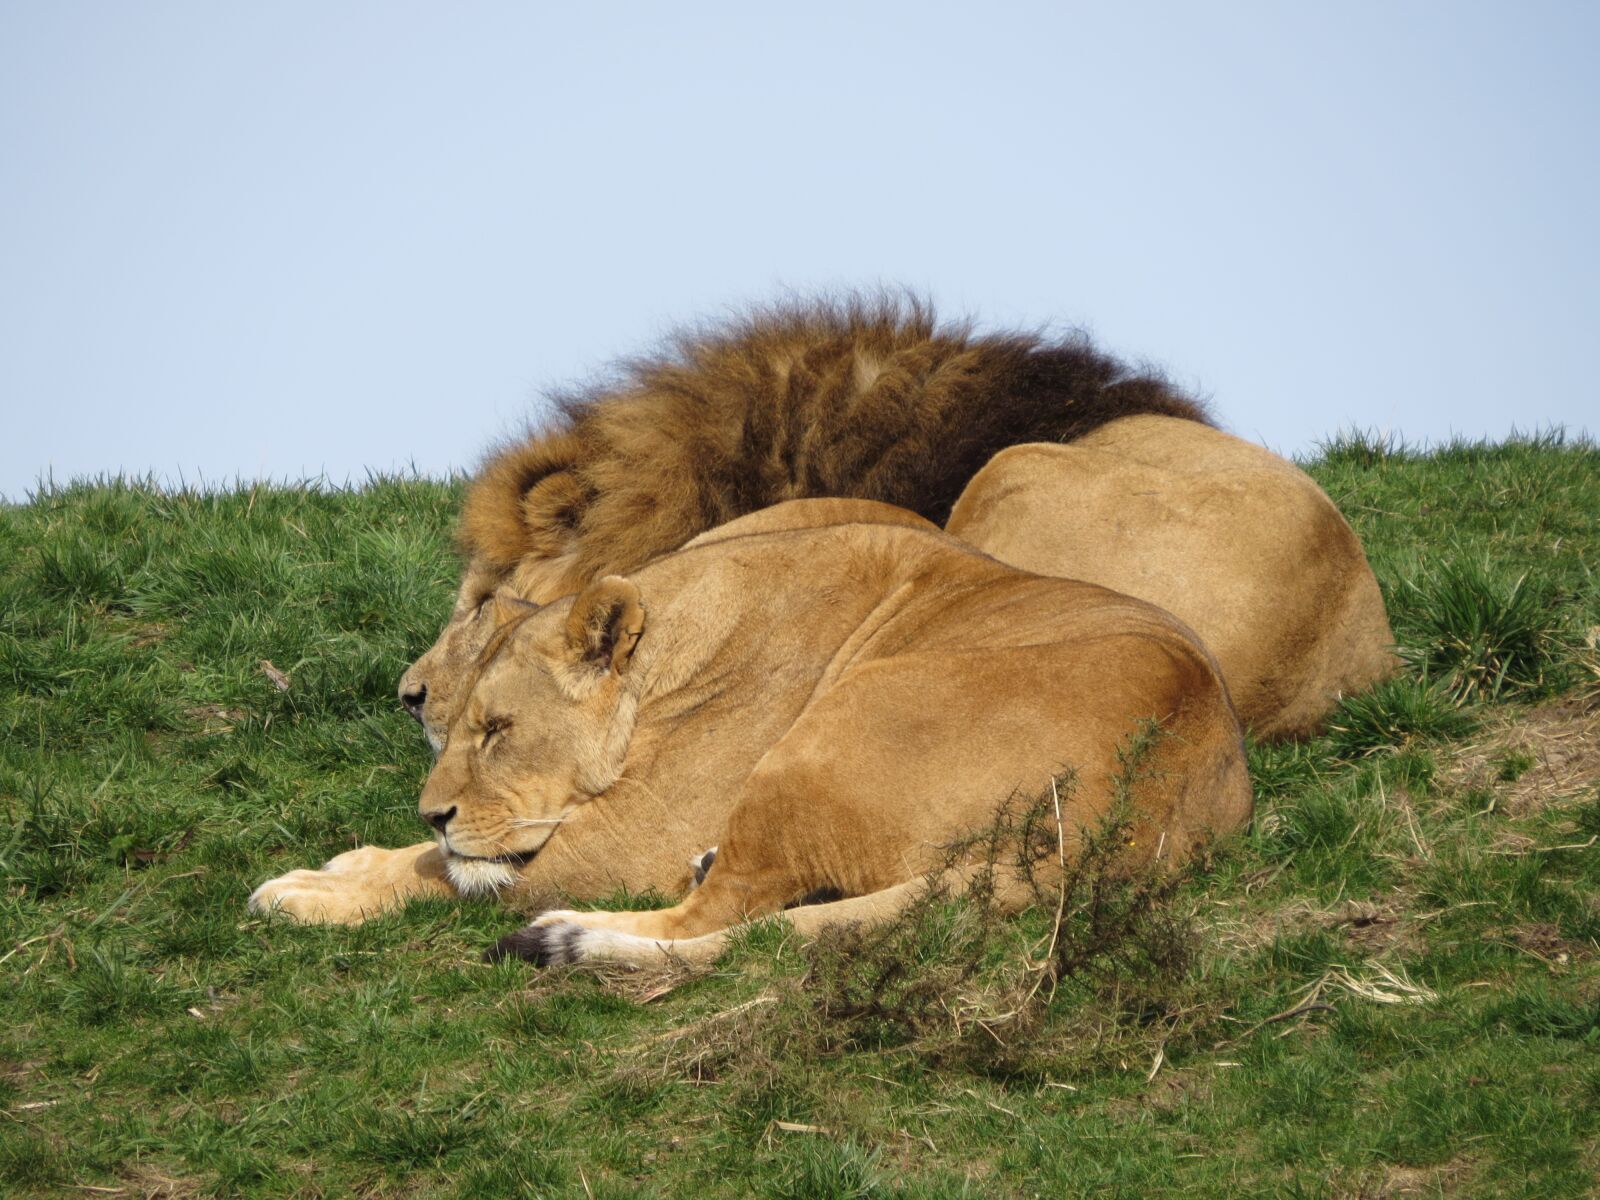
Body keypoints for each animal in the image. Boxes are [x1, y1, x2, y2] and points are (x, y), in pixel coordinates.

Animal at [251, 508, 1252, 967]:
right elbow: (427, 862)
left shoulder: (628, 840)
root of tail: (1136, 821)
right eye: (452, 726)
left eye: (498, 730)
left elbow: (448, 874)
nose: (435, 811)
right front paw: (347, 865)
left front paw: (312, 892)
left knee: (719, 918)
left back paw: (571, 934)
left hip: (834, 725)